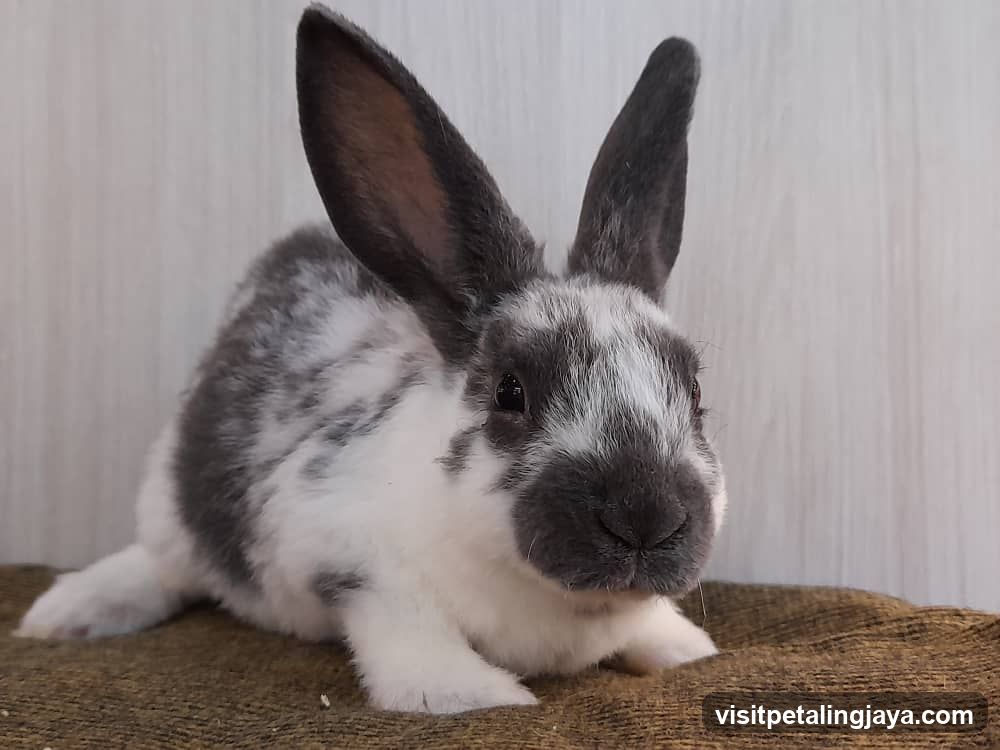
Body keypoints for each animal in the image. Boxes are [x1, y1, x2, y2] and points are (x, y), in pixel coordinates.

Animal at [15, 4, 728, 714]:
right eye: (510, 392)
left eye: (694, 392)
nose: (645, 518)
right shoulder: (348, 558)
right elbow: (405, 631)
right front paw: (469, 695)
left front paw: (683, 650)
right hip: (171, 508)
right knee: (163, 565)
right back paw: (67, 614)